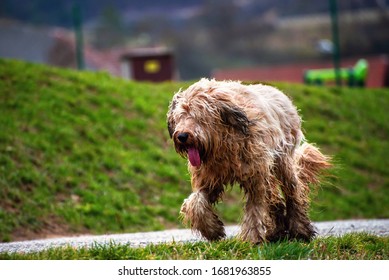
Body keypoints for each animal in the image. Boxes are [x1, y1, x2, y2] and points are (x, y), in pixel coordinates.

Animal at [165, 78, 328, 243]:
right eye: (180, 117)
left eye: (200, 116)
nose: (182, 136)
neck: (223, 143)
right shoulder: (209, 178)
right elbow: (196, 203)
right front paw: (213, 230)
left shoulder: (255, 177)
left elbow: (255, 208)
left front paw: (252, 239)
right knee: (275, 199)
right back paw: (277, 232)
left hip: (282, 162)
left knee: (293, 192)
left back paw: (300, 230)